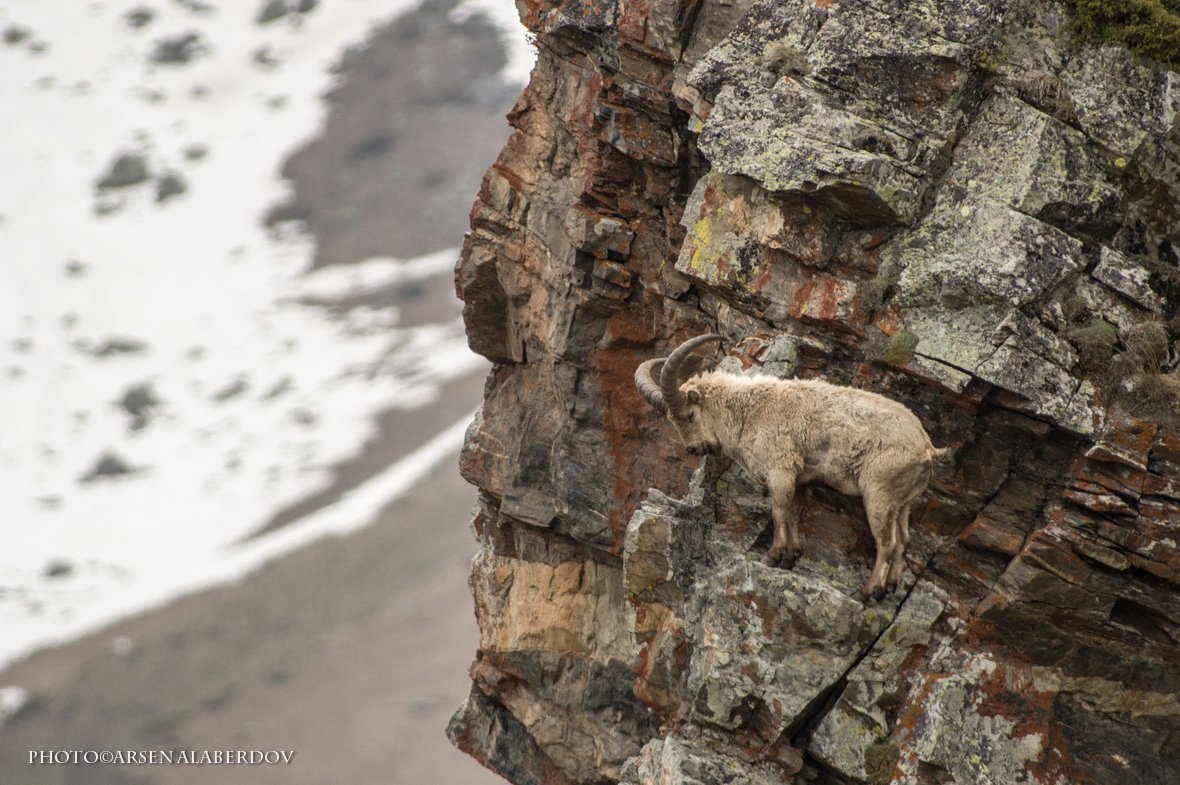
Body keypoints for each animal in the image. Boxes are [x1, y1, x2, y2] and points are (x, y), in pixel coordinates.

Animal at [637, 332, 948, 597]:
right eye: (671, 420)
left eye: (689, 415)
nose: (693, 449)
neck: (750, 412)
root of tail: (927, 449)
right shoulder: (802, 479)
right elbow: (794, 514)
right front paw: (790, 557)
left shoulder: (781, 471)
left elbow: (778, 512)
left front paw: (772, 556)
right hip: (903, 502)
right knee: (903, 540)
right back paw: (890, 587)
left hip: (878, 493)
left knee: (887, 543)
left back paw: (869, 591)